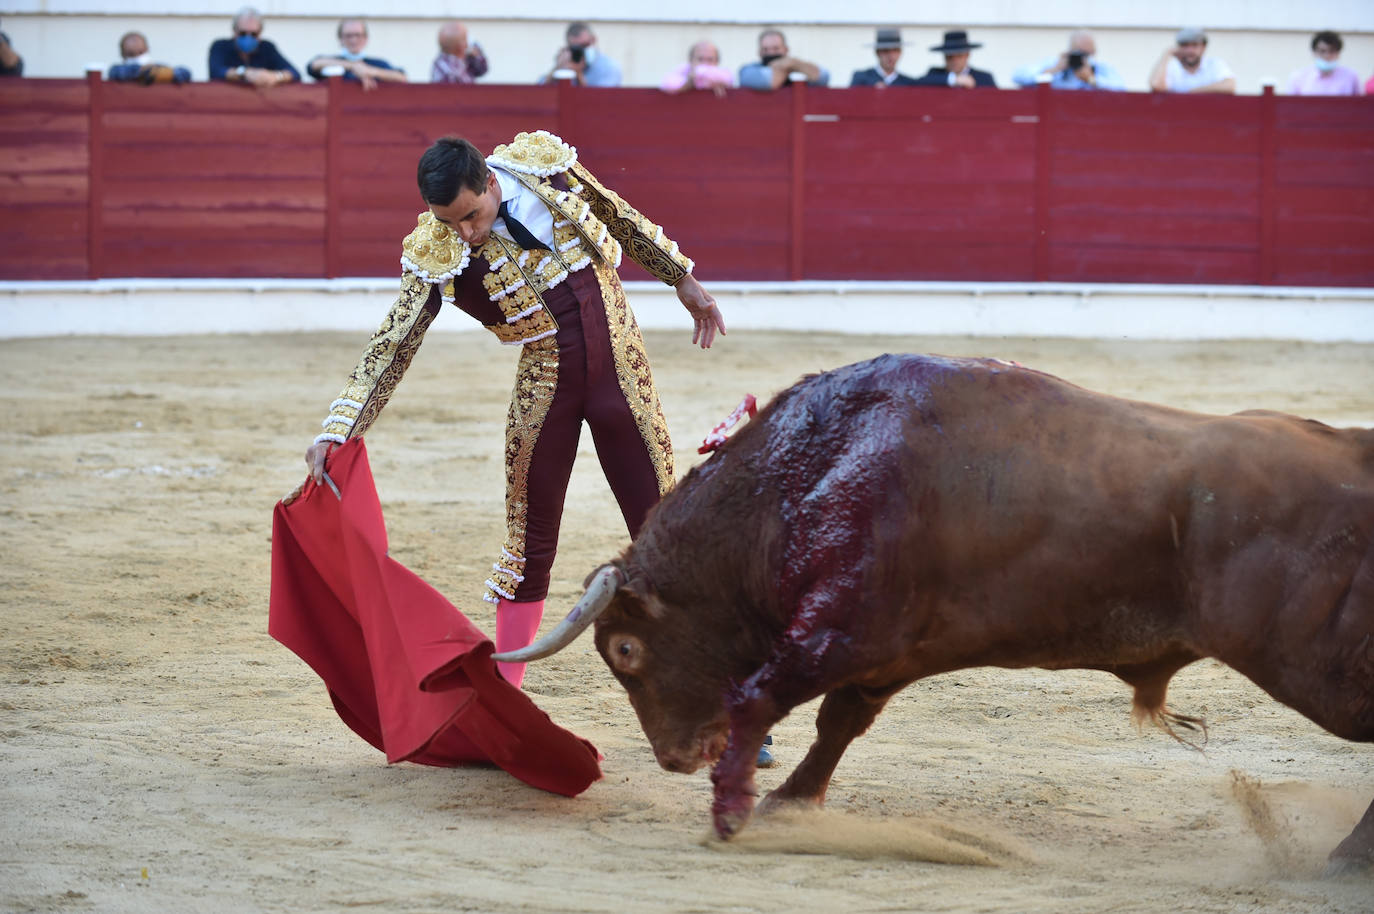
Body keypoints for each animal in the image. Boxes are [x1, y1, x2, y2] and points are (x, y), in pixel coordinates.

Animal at [497, 350, 1374, 868]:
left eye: (625, 652)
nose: (676, 758)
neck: (800, 481)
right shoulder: (884, 653)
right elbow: (836, 726)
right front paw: (787, 803)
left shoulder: (837, 631)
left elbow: (759, 697)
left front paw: (733, 813)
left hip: (1315, 662)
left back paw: (1346, 859)